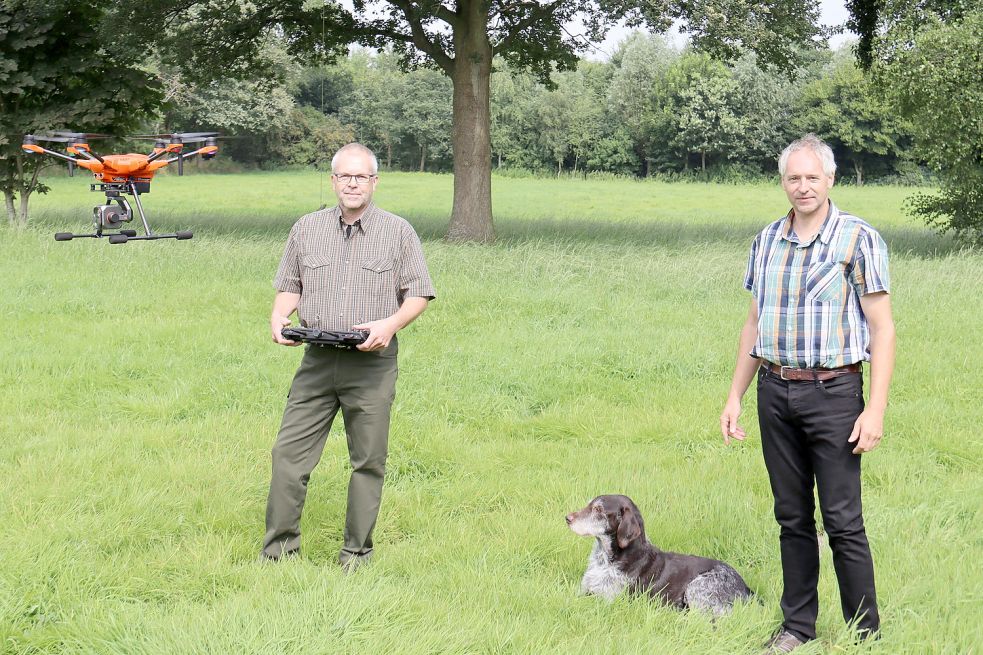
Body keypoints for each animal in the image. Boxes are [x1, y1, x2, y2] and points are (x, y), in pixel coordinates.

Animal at [564, 498, 748, 616]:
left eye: (598, 510)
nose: (567, 518)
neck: (607, 560)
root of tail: (746, 589)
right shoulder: (584, 590)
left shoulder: (607, 600)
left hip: (697, 587)